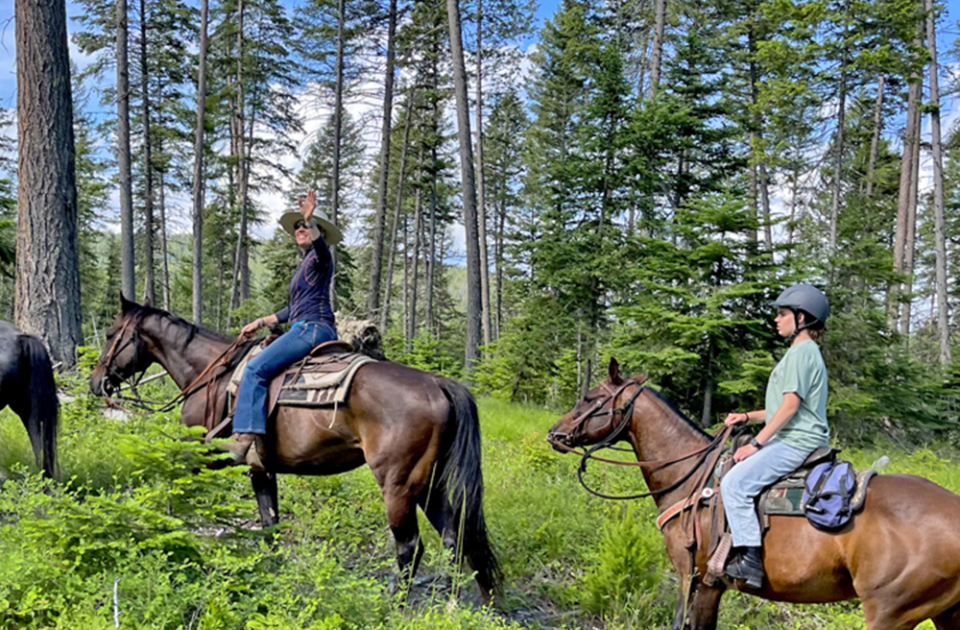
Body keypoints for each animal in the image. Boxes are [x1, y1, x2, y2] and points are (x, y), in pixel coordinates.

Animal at [88, 298, 502, 600]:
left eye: (109, 333)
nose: (96, 382)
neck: (212, 375)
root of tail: (439, 384)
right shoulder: (260, 468)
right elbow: (270, 524)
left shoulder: (199, 454)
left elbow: (171, 495)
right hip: (431, 483)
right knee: (454, 538)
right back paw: (448, 605)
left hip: (399, 485)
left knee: (410, 548)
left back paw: (394, 606)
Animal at [552, 360, 960, 630]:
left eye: (589, 398)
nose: (556, 433)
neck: (692, 475)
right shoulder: (710, 587)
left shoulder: (696, 578)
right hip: (946, 612)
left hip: (889, 613)